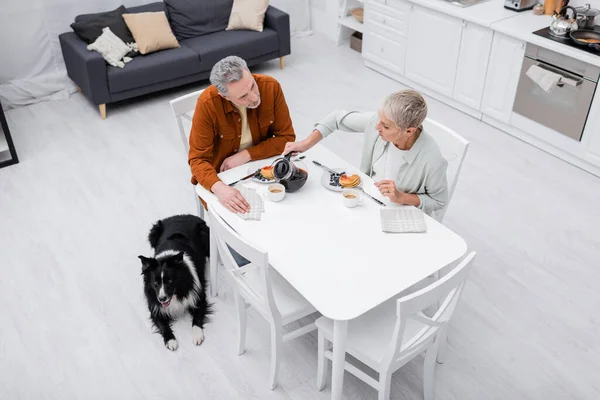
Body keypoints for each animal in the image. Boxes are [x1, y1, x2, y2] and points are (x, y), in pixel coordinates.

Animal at [137, 216, 212, 350]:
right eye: (155, 283)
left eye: (170, 280)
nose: (162, 299)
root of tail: (182, 215)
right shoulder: (155, 306)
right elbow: (163, 325)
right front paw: (171, 341)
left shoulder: (199, 297)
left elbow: (197, 318)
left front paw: (197, 336)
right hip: (153, 232)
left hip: (205, 233)